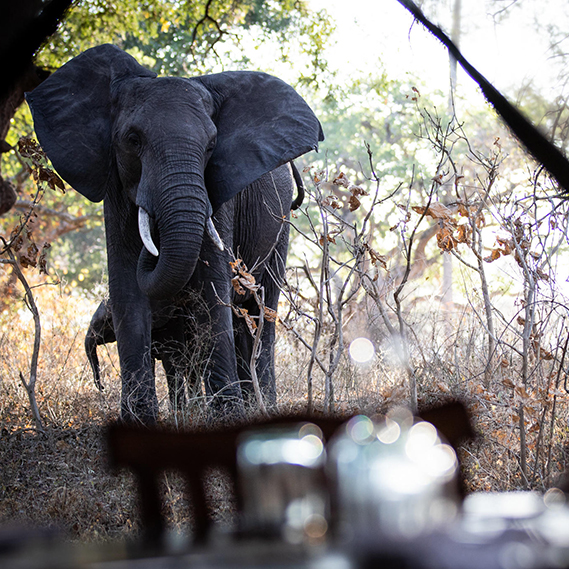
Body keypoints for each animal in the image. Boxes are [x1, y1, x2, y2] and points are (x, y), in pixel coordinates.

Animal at [27, 44, 324, 424]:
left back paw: (262, 406)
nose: (153, 242)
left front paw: (226, 418)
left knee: (261, 310)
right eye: (132, 140)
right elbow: (127, 290)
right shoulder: (115, 190)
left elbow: (213, 289)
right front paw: (139, 421)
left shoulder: (218, 196)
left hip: (280, 222)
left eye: (212, 145)